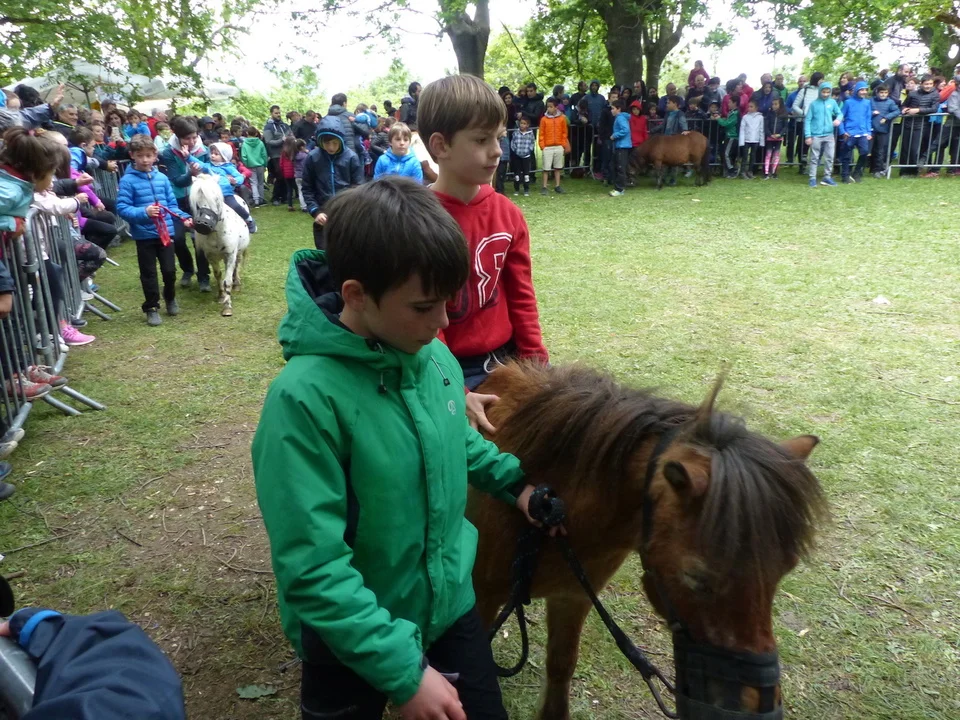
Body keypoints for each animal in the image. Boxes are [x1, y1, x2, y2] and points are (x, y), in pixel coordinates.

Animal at [188, 174, 250, 317]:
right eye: (196, 203)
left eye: (215, 199)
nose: (203, 224)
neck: (217, 234)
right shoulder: (211, 257)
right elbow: (218, 275)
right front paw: (221, 296)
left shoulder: (230, 254)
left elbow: (227, 281)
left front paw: (227, 307)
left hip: (237, 253)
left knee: (237, 265)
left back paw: (237, 284)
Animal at [469, 362, 826, 720]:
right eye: (696, 576)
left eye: (786, 569)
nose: (755, 706)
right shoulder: (481, 598)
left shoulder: (573, 596)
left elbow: (560, 666)